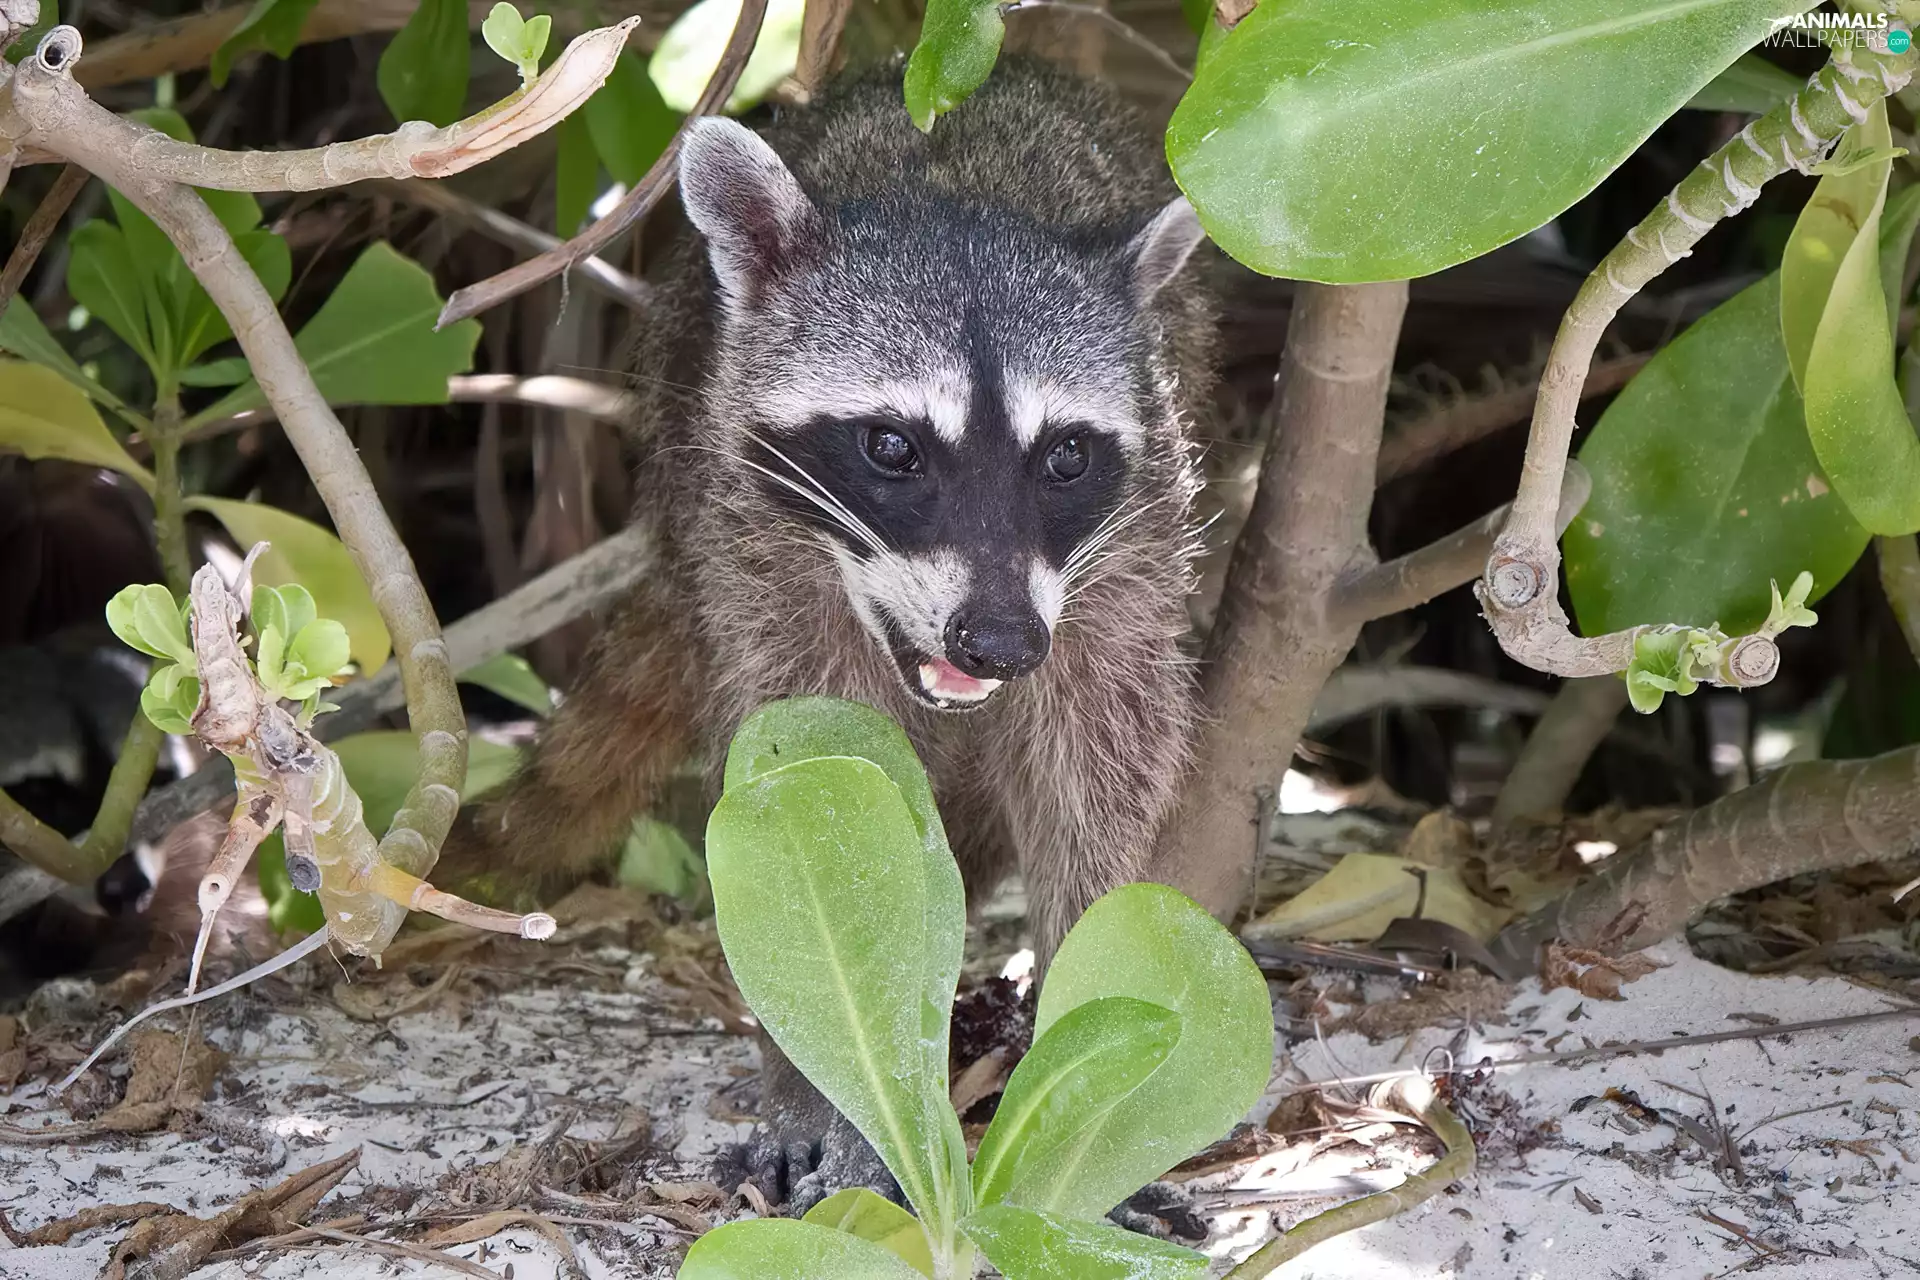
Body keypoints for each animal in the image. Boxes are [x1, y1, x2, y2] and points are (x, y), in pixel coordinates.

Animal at [452, 57, 1216, 1203]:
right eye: (892, 446)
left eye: (1065, 455)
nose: (999, 644)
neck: (956, 192)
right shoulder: (753, 538)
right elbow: (814, 788)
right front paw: (835, 1098)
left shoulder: (1132, 539)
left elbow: (1098, 762)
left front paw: (1083, 1048)